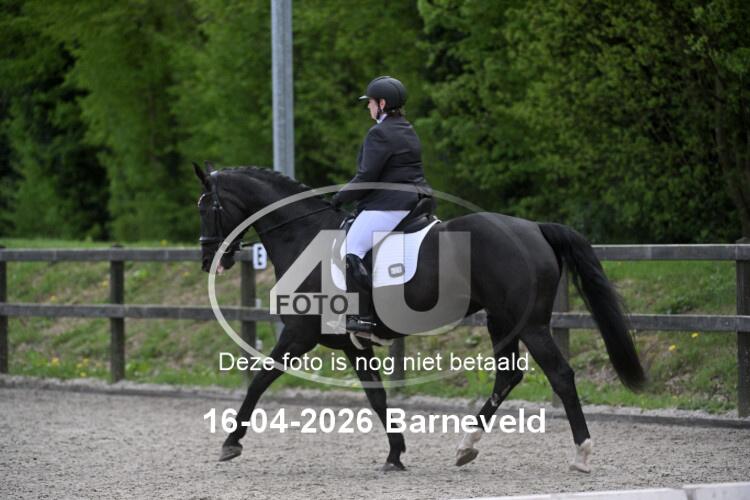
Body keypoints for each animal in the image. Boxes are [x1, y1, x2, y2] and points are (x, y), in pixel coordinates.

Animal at [193, 162, 646, 472]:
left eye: (206, 207)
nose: (208, 260)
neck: (305, 237)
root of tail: (534, 228)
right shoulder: (353, 346)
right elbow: (377, 398)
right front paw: (396, 453)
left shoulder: (299, 335)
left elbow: (259, 380)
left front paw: (231, 442)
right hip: (501, 321)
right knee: (508, 377)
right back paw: (466, 447)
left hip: (530, 324)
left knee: (560, 375)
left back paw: (582, 454)